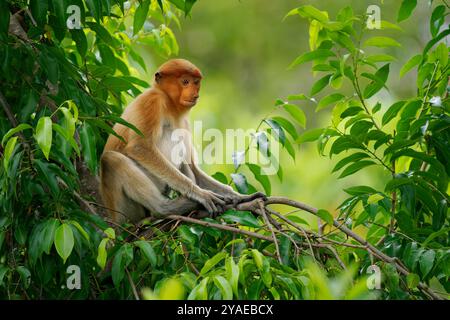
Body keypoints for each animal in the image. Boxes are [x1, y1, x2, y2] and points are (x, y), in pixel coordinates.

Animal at [100, 58, 266, 224]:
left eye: (196, 82)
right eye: (185, 82)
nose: (195, 94)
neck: (169, 103)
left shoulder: (185, 122)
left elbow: (193, 168)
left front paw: (241, 197)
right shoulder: (152, 102)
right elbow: (139, 147)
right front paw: (201, 194)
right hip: (125, 213)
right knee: (110, 159)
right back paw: (167, 208)